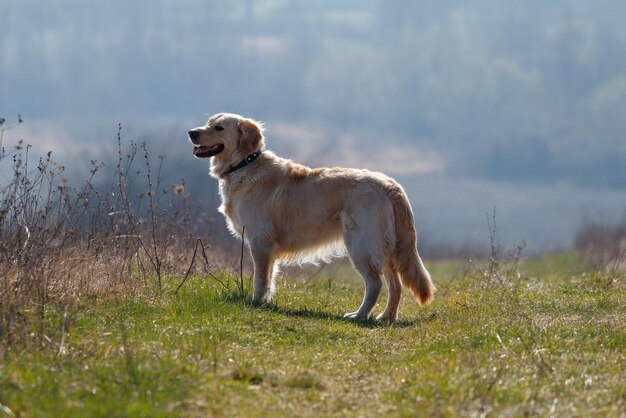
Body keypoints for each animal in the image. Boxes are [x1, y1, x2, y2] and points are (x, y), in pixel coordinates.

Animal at [188, 112, 436, 322]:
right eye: (208, 123)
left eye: (219, 127)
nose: (191, 132)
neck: (244, 165)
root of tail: (389, 185)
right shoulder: (268, 249)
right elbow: (269, 278)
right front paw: (266, 301)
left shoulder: (260, 243)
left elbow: (261, 280)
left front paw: (256, 302)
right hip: (385, 249)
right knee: (396, 286)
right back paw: (386, 317)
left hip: (361, 245)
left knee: (375, 284)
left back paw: (358, 316)